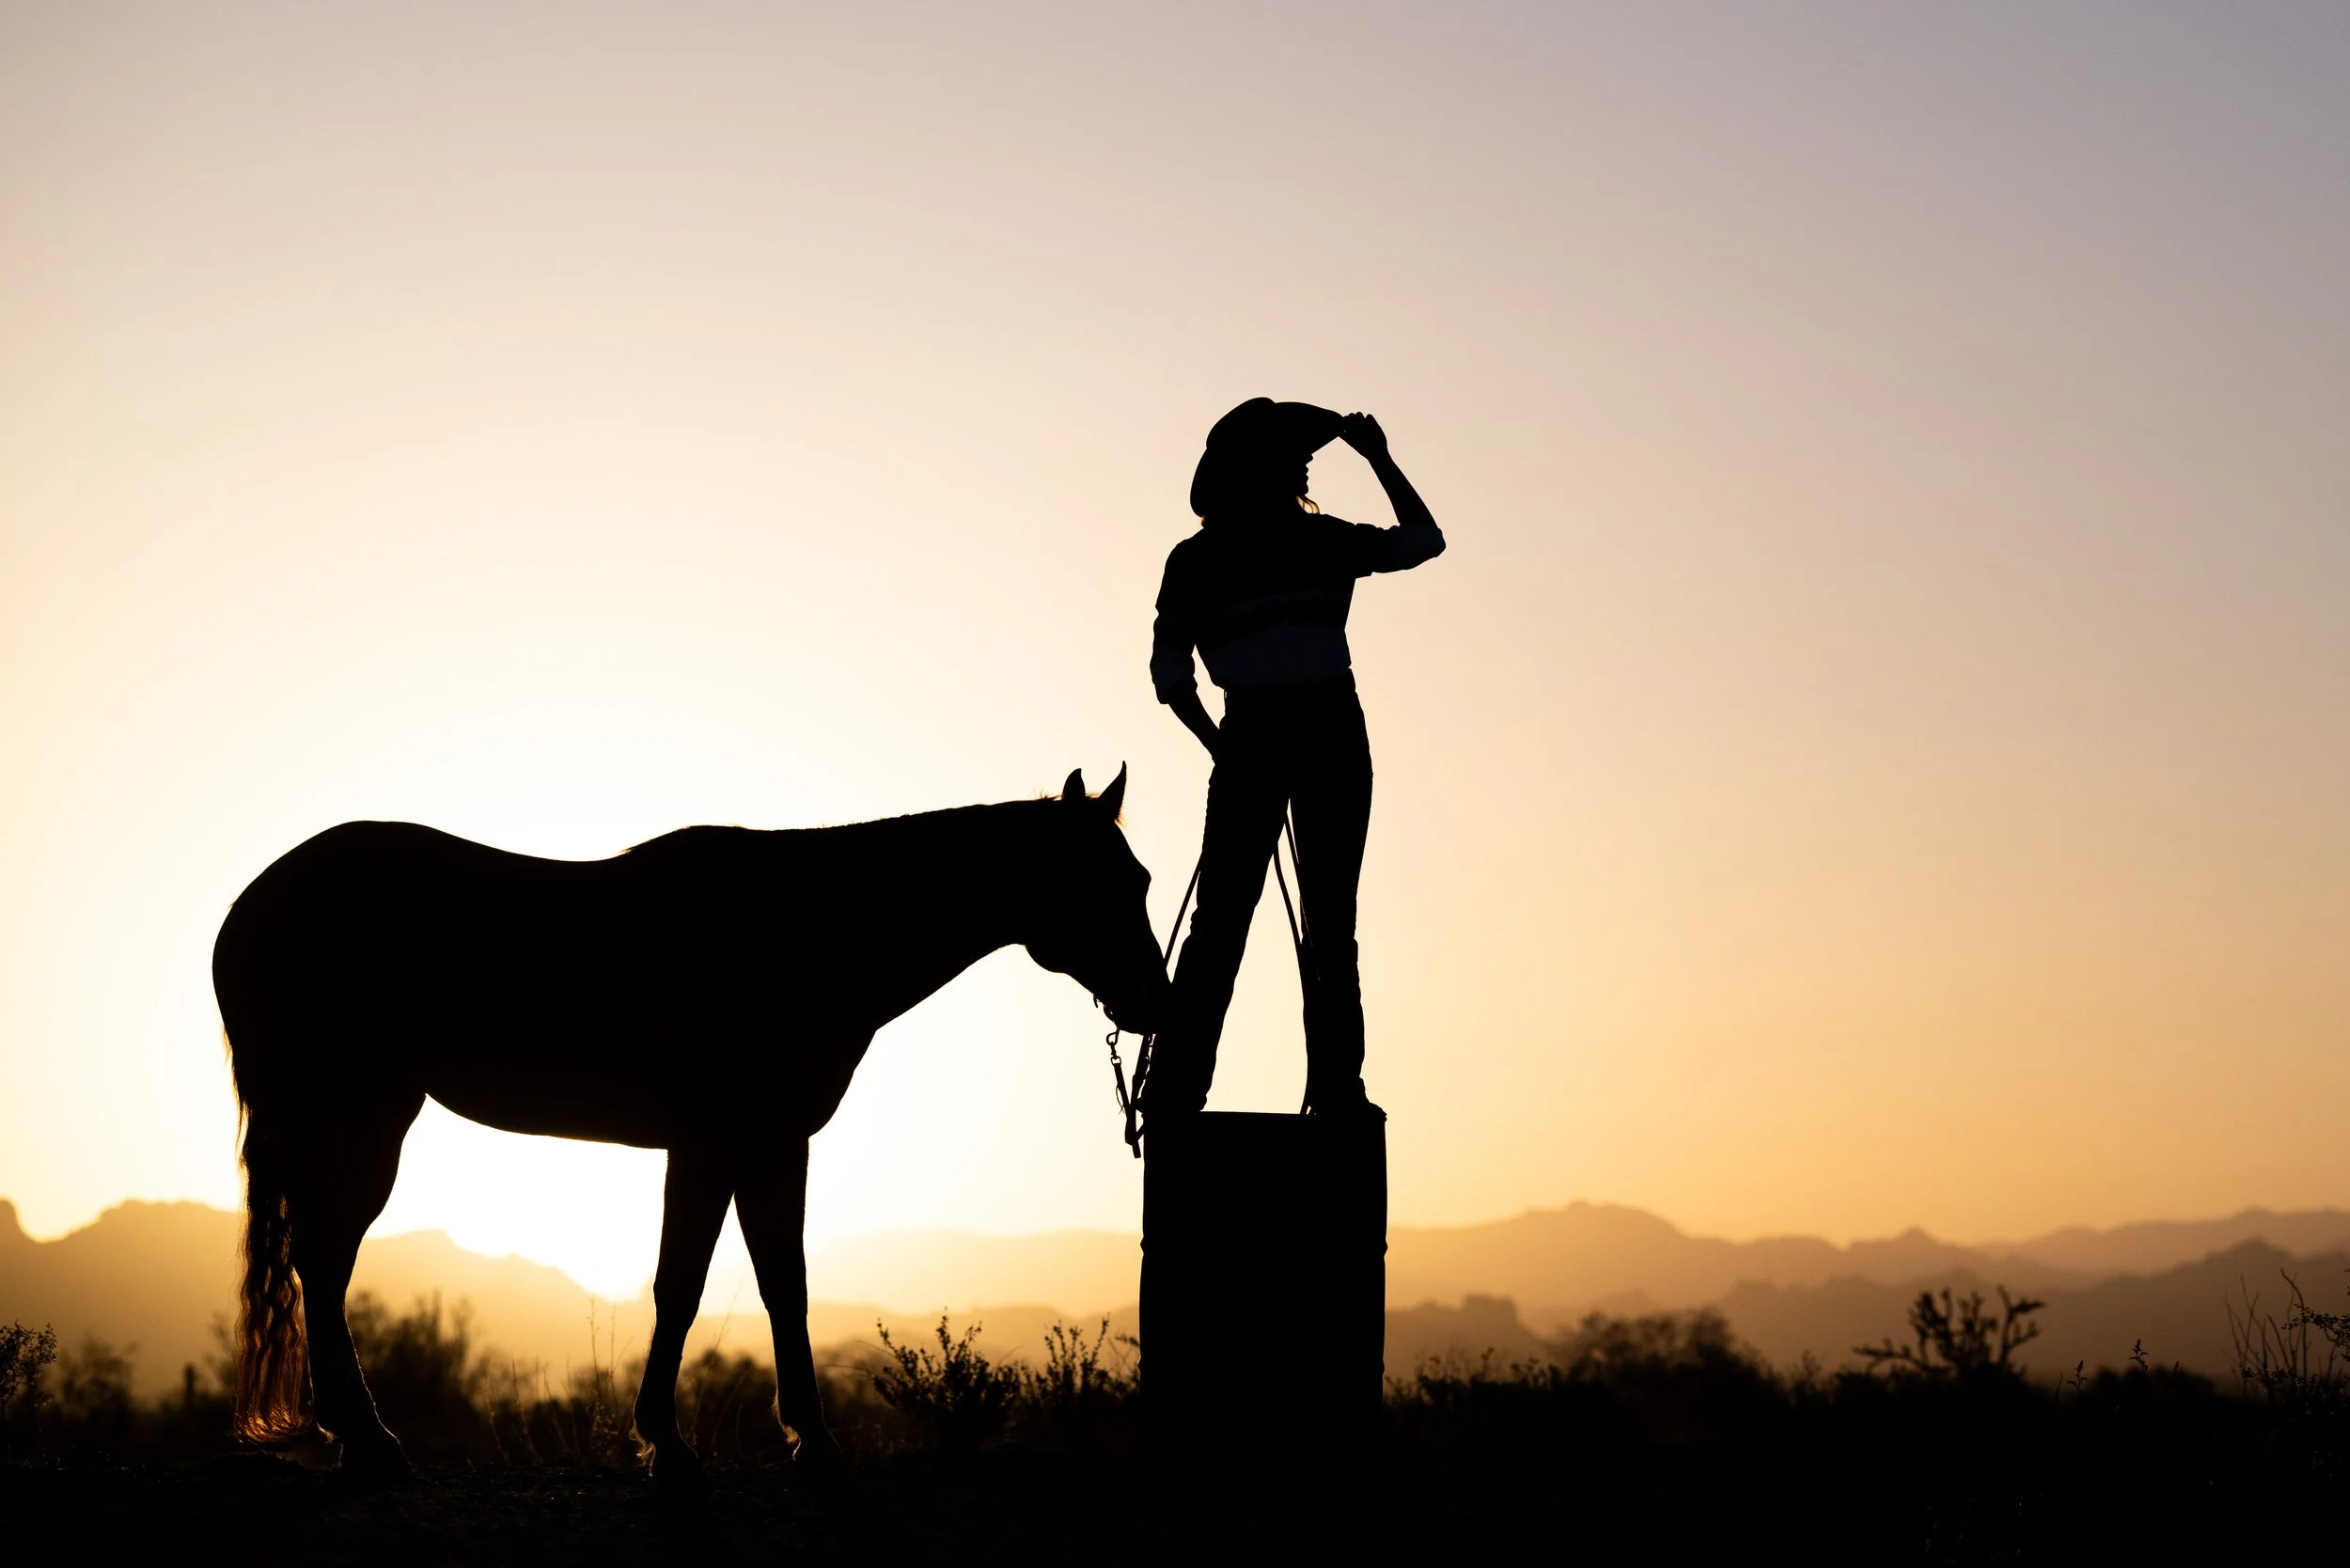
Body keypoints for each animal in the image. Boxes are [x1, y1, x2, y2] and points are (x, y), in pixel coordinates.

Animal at [212, 766, 1168, 1480]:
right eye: (1103, 883)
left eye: (1144, 880)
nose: (1154, 1002)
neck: (805, 933)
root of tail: (254, 903)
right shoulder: (714, 1143)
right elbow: (685, 1286)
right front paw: (671, 1446)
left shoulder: (771, 1144)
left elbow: (781, 1284)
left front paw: (807, 1441)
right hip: (347, 1114)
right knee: (321, 1262)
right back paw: (368, 1439)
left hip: (368, 1116)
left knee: (323, 1262)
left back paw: (358, 1438)